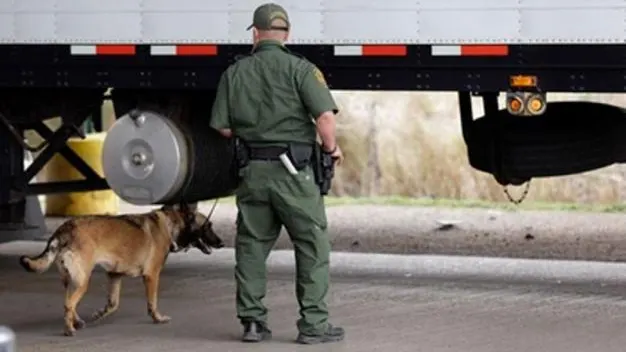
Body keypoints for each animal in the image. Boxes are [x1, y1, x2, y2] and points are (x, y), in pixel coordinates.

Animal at [18, 201, 223, 336]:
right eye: (208, 226)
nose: (221, 243)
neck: (170, 223)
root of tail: (65, 229)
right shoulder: (152, 276)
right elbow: (152, 303)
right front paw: (157, 318)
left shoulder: (114, 275)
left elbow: (113, 304)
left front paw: (99, 314)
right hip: (83, 281)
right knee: (68, 303)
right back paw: (69, 329)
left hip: (72, 280)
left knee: (68, 302)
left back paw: (76, 321)